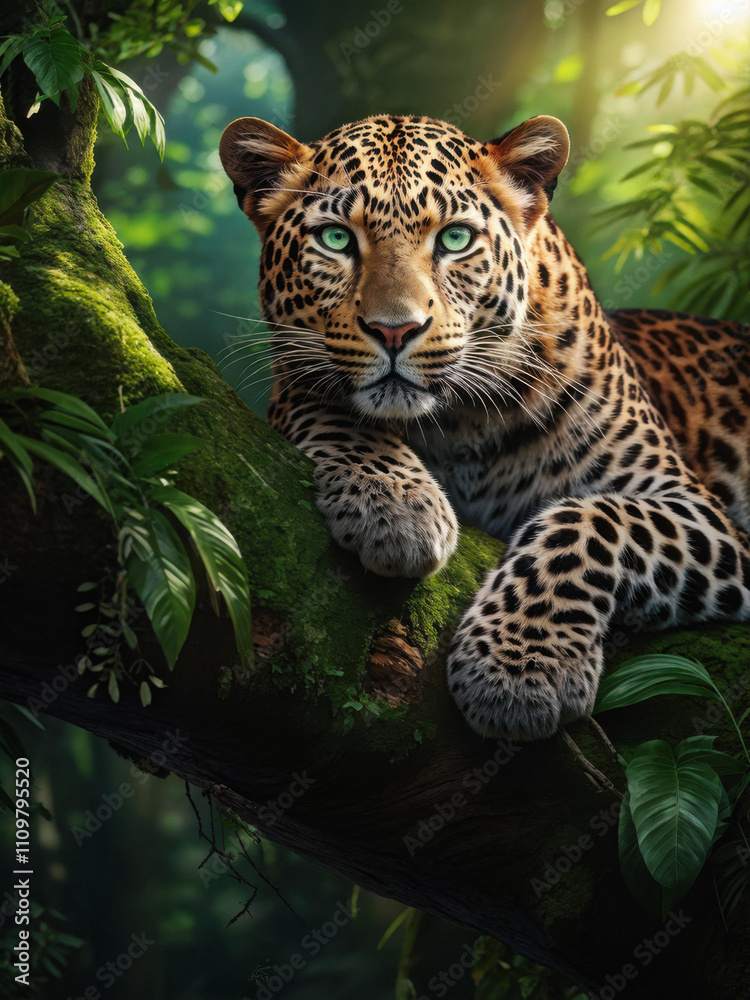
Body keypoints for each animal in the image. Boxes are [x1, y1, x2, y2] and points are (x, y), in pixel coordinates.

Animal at [219, 112, 750, 742]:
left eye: (454, 239)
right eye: (335, 239)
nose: (395, 330)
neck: (458, 425)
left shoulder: (694, 508)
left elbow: (591, 521)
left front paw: (520, 668)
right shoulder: (294, 380)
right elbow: (333, 411)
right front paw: (397, 509)